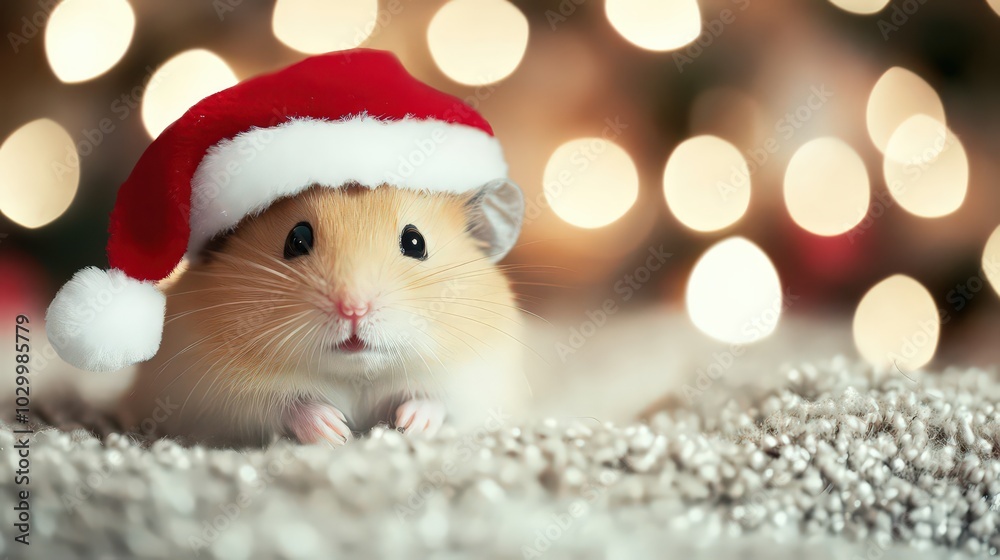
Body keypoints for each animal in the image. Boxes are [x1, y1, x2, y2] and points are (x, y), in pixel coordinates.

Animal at [117, 183, 527, 447]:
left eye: (415, 242)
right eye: (297, 240)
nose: (354, 309)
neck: (356, 374)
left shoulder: (475, 381)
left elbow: (437, 402)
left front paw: (408, 426)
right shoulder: (214, 393)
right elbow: (284, 405)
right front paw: (337, 432)